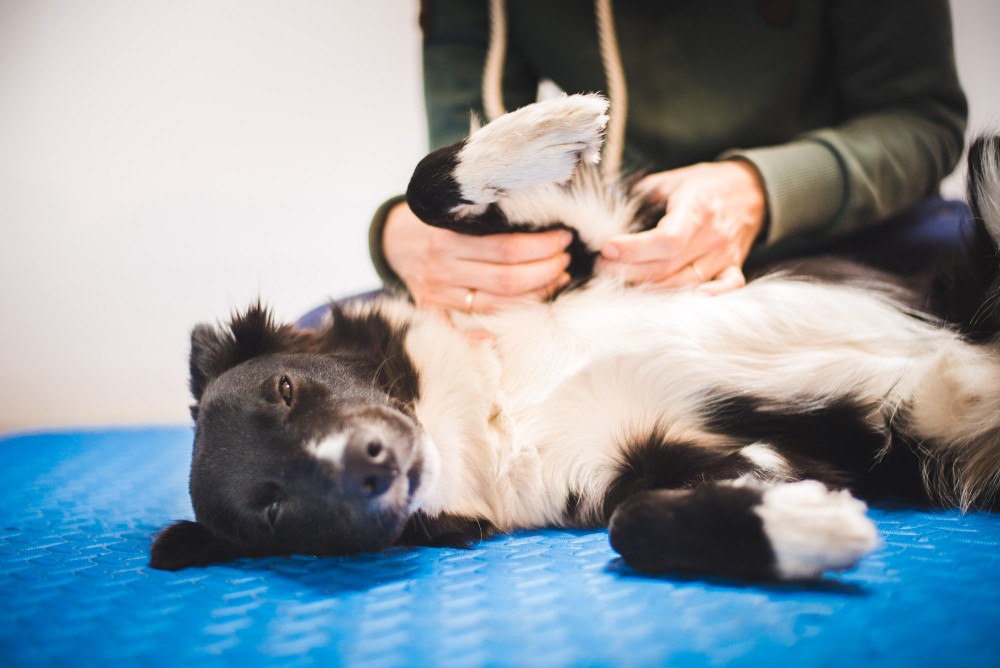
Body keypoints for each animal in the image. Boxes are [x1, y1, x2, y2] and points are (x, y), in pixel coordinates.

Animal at [148, 96, 1000, 580]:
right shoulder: (697, 462)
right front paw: (803, 531)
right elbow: (634, 523)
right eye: (273, 510)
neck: (497, 404)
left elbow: (428, 187)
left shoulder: (587, 248)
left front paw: (548, 126)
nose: (371, 463)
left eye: (285, 389)